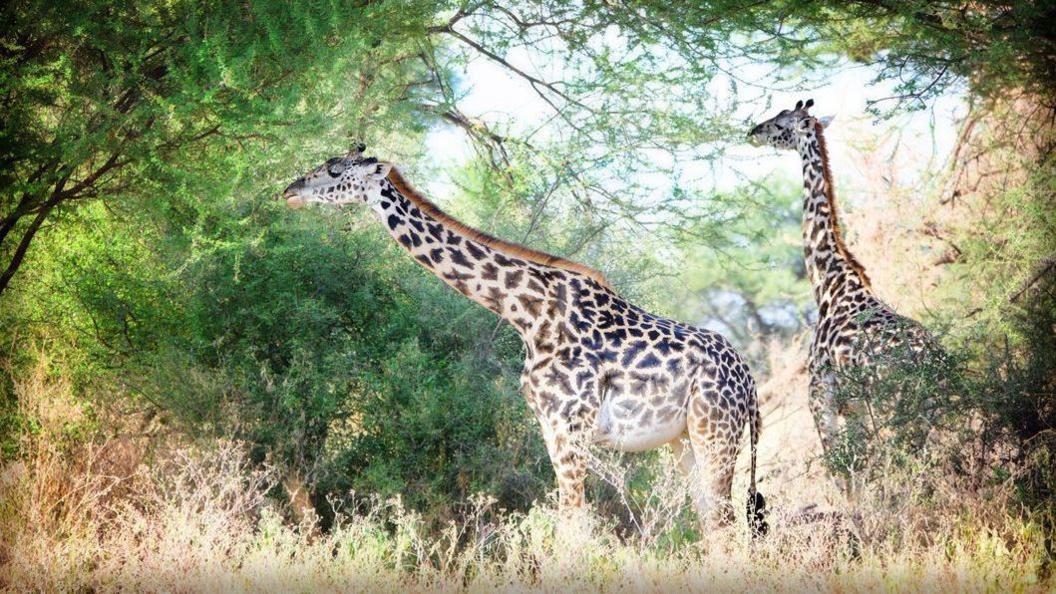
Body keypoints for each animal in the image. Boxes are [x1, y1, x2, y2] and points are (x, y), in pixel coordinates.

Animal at [282, 146, 767, 533]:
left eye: (333, 169)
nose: (289, 190)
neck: (527, 314)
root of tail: (750, 383)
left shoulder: (569, 426)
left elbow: (572, 527)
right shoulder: (550, 426)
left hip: (715, 432)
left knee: (725, 523)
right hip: (683, 440)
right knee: (712, 522)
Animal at [748, 99, 943, 482]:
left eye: (780, 123)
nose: (753, 131)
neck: (829, 282)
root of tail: (932, 362)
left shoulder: (820, 396)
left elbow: (842, 470)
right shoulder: (852, 406)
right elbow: (858, 468)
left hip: (895, 407)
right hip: (931, 413)